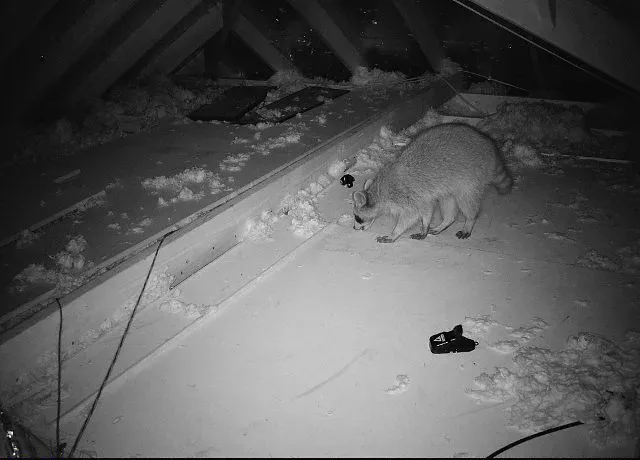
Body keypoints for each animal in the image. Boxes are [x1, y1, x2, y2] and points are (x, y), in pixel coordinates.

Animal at [352, 123, 513, 243]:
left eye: (357, 218)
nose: (353, 228)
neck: (378, 193)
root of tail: (490, 145)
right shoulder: (422, 196)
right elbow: (427, 209)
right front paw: (425, 225)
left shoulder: (405, 195)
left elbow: (410, 216)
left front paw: (395, 233)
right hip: (450, 184)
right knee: (448, 202)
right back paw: (446, 221)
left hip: (471, 177)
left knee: (466, 201)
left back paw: (470, 221)